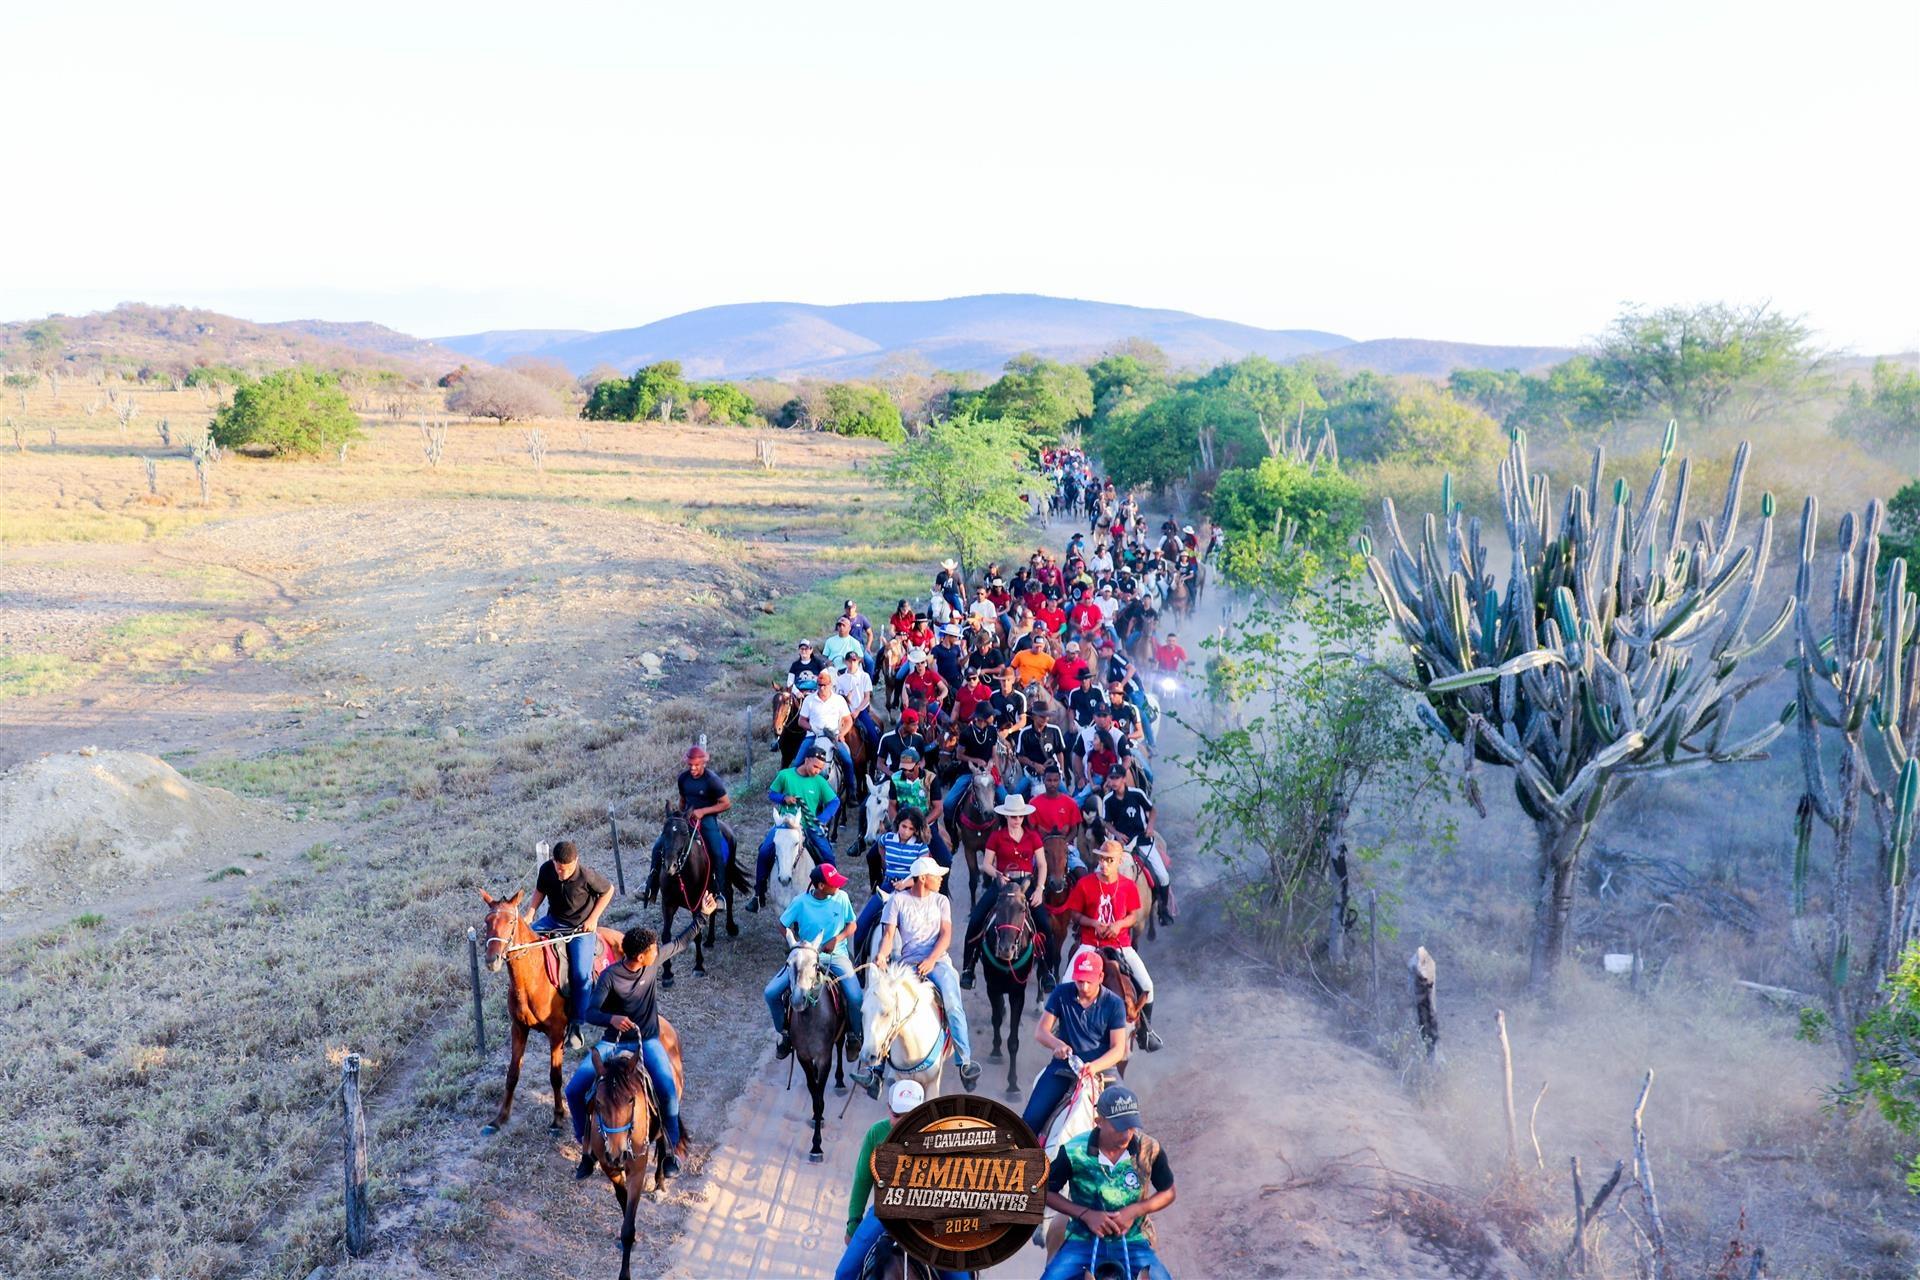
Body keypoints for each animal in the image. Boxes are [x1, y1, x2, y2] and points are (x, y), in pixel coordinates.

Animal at [477, 888, 620, 1136]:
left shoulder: (556, 1033)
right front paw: (499, 1118)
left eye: (511, 921)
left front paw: (558, 1118)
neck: (533, 978)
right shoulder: (519, 1029)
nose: (491, 959)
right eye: (487, 921)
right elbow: (512, 1074)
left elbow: (555, 1076)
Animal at [653, 809, 741, 987]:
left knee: (728, 895)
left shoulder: (696, 903)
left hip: (726, 874)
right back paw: (710, 940)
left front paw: (699, 966)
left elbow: (697, 933)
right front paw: (667, 974)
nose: (670, 866)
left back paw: (731, 927)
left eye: (685, 833)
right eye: (664, 832)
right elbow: (666, 936)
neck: (680, 876)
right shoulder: (668, 904)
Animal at [784, 939, 851, 1163]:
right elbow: (813, 1093)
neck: (810, 1020)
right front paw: (815, 1117)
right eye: (788, 964)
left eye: (814, 965)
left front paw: (816, 1146)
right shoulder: (803, 1056)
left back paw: (840, 1081)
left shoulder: (824, 1058)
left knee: (840, 1046)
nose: (798, 1000)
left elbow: (820, 1100)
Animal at [979, 876, 1043, 1097]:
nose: (1006, 949)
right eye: (998, 907)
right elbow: (996, 1018)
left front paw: (1013, 1084)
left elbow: (1014, 1041)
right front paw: (996, 1051)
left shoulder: (1017, 993)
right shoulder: (992, 987)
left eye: (1022, 909)